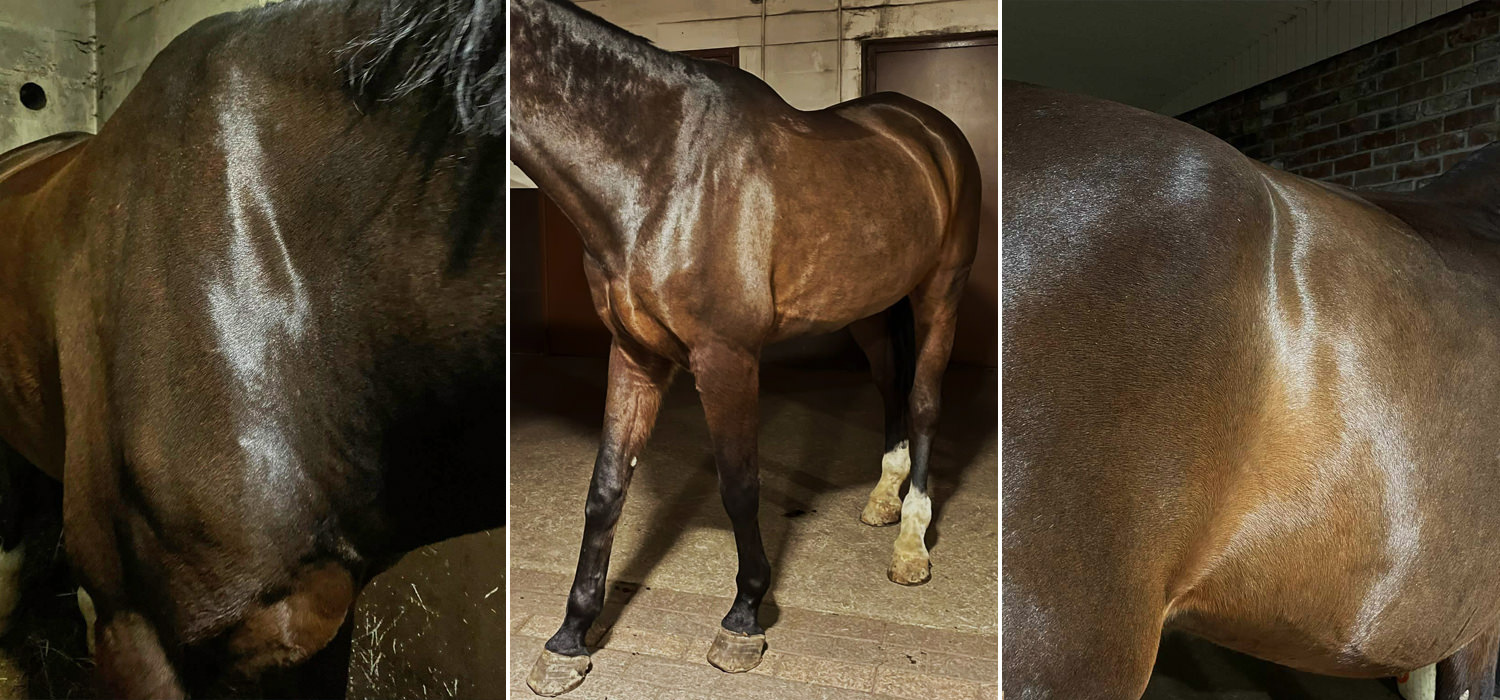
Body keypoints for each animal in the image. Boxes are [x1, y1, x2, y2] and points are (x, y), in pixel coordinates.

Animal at [509, 0, 982, 695]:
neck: (658, 173)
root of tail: (928, 130)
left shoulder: (725, 358)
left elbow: (739, 485)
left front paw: (744, 616)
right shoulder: (634, 354)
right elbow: (606, 489)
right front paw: (570, 638)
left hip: (939, 293)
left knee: (923, 400)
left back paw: (912, 543)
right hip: (869, 306)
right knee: (891, 385)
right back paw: (882, 499)